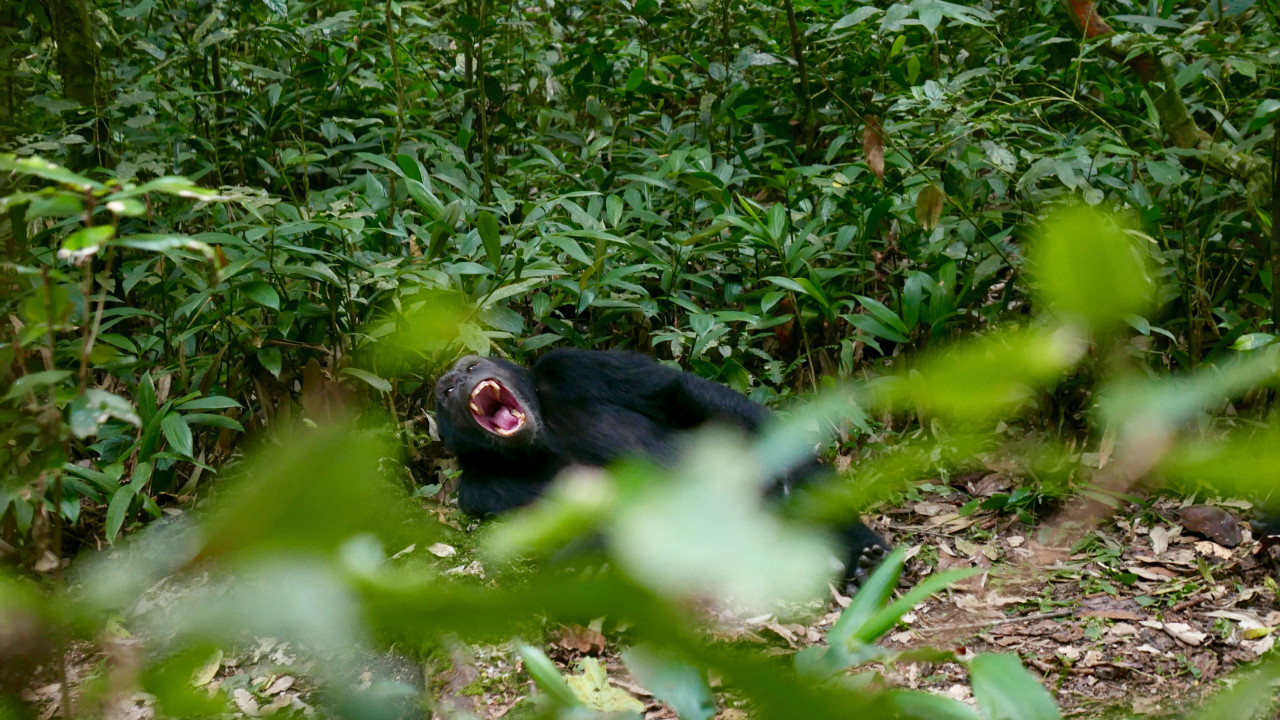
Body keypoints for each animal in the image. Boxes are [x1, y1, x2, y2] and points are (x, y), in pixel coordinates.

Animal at [432, 345, 890, 589]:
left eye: (472, 367)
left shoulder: (573, 365)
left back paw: (860, 553)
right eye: (447, 392)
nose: (457, 377)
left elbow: (675, 393)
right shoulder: (479, 489)